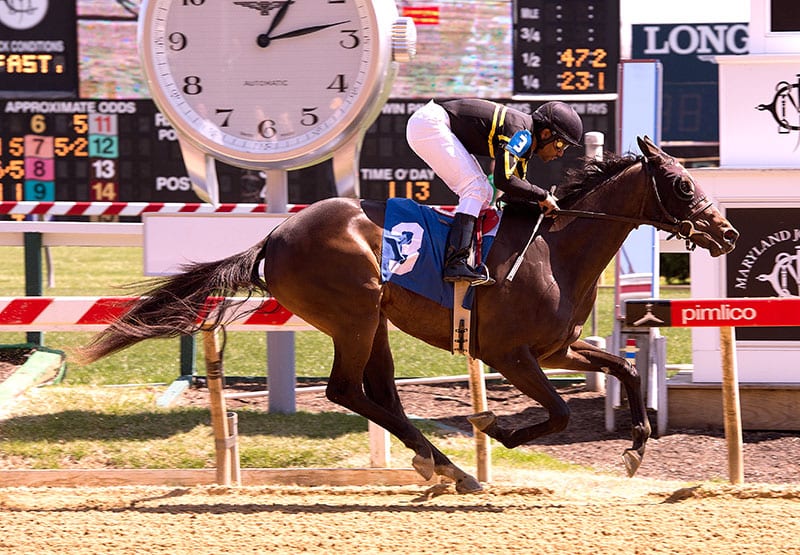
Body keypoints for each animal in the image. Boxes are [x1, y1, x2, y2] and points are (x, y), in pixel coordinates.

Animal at [79, 137, 736, 494]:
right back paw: (449, 466)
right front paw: (495, 427)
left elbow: (625, 372)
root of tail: (275, 236)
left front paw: (636, 449)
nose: (726, 232)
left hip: (374, 322)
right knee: (347, 391)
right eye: (682, 185)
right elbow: (555, 413)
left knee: (381, 395)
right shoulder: (509, 355)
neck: (556, 251)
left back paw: (443, 466)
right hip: (356, 314)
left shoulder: (557, 349)